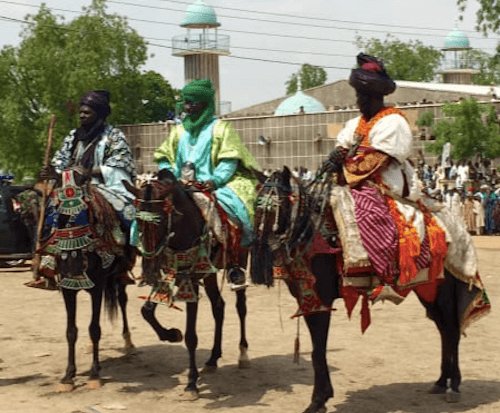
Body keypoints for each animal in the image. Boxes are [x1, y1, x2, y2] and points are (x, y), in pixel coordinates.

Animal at [123, 168, 250, 400]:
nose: (148, 270)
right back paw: (212, 359)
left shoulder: (190, 279)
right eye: (137, 221)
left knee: (240, 307)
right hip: (208, 273)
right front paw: (171, 334)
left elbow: (191, 336)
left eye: (163, 220)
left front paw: (191, 383)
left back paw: (243, 353)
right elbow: (147, 311)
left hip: (238, 261)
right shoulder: (171, 273)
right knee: (219, 307)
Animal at [252, 166, 486, 412]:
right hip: (427, 291)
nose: (266, 246)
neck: (312, 234)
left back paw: (454, 385)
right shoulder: (306, 300)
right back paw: (441, 382)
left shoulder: (320, 299)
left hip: (444, 291)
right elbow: (317, 348)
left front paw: (318, 399)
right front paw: (322, 397)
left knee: (451, 330)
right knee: (443, 330)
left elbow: (318, 350)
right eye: (256, 205)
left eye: (278, 205)